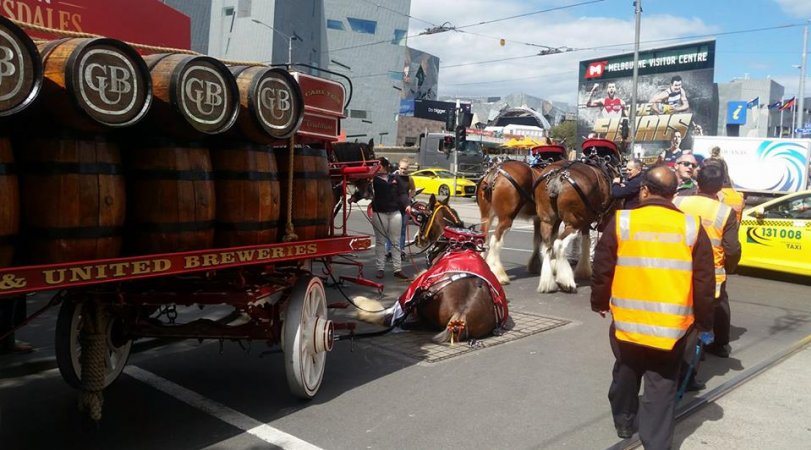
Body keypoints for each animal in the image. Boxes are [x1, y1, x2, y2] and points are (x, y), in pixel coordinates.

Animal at [354, 194, 508, 344]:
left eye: (422, 217)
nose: (417, 238)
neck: (454, 244)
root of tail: (460, 314)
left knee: (390, 318)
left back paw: (363, 305)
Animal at [532, 140, 620, 292]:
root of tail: (558, 175)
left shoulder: (586, 221)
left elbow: (586, 240)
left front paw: (584, 270)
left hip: (548, 220)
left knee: (547, 246)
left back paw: (547, 282)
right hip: (573, 222)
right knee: (559, 243)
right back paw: (565, 281)